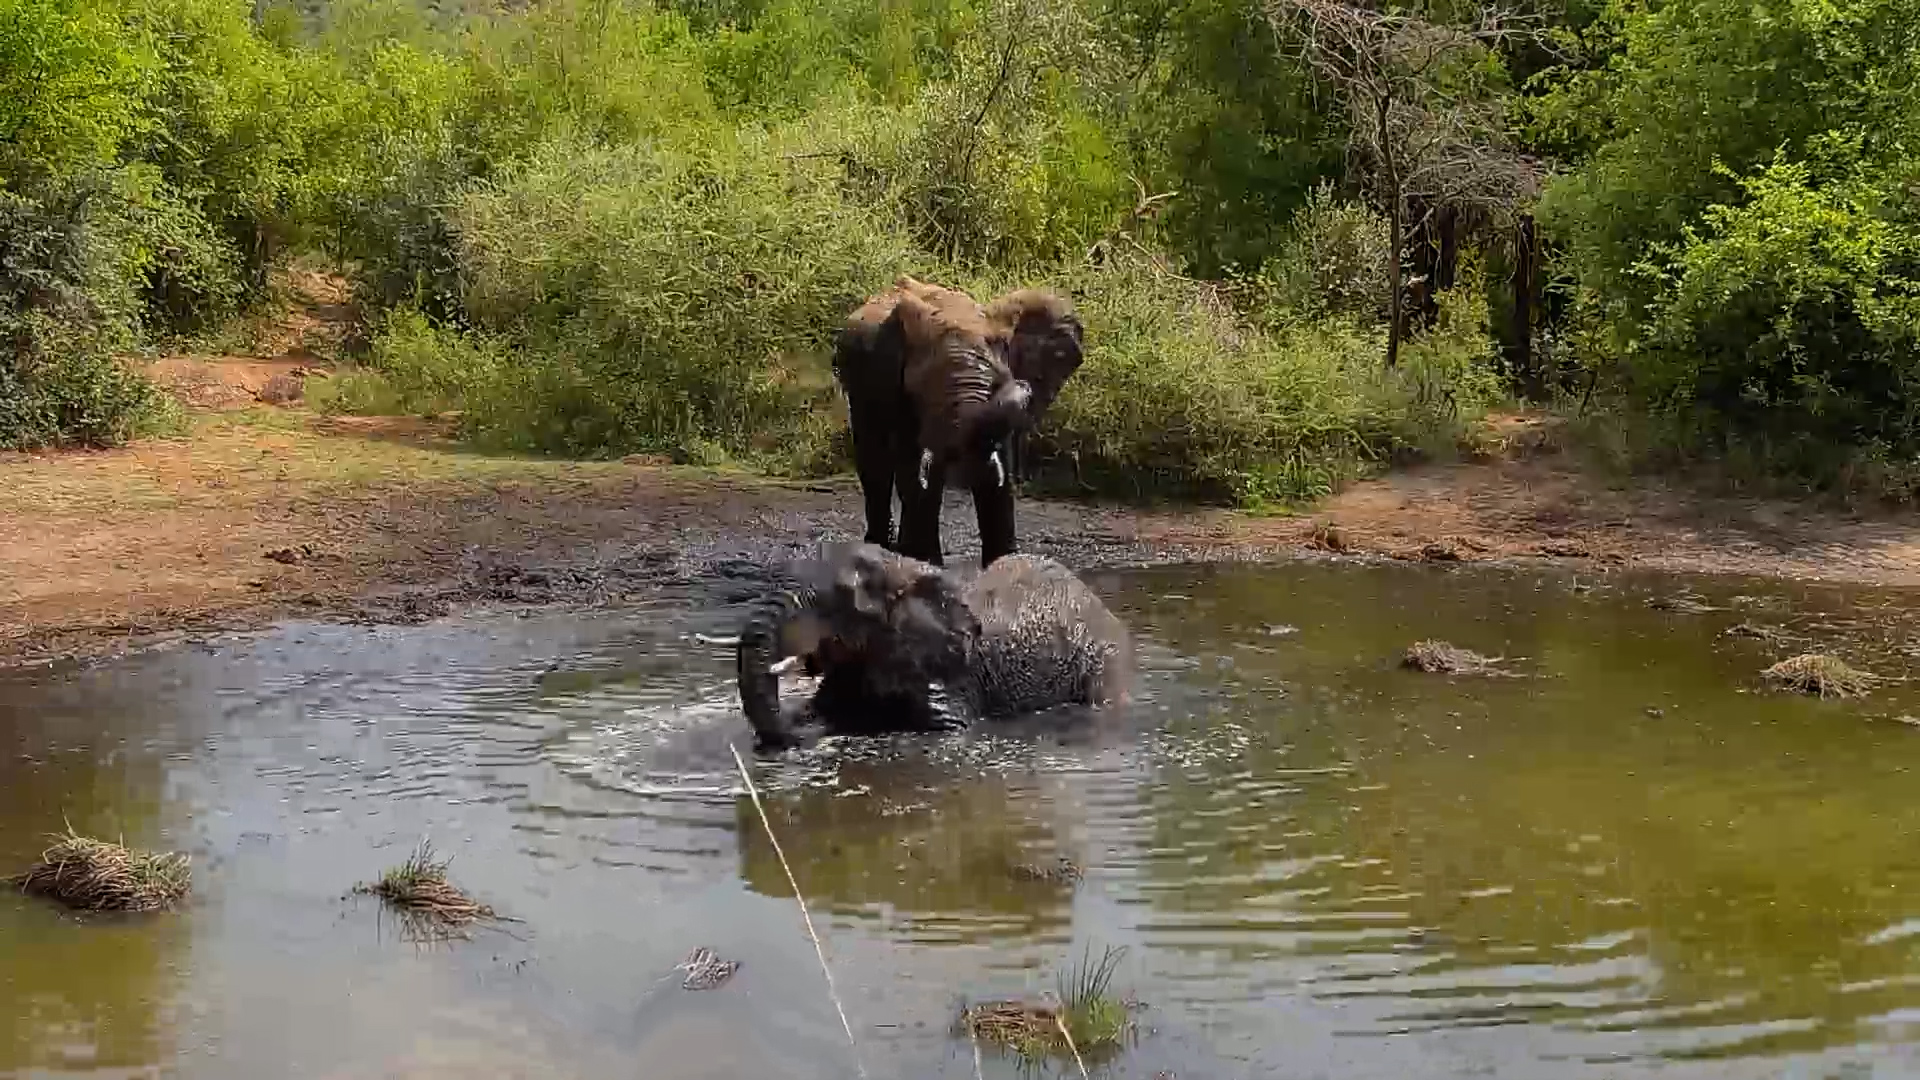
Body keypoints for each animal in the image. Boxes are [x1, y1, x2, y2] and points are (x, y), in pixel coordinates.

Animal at [833, 276, 1085, 570]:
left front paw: (1005, 564)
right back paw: (884, 548)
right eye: (921, 390)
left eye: (999, 381)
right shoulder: (892, 385)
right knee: (876, 459)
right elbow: (910, 464)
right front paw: (925, 562)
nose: (1023, 387)